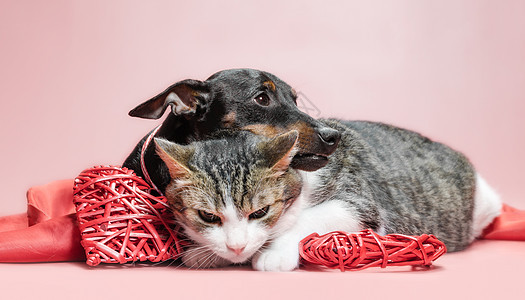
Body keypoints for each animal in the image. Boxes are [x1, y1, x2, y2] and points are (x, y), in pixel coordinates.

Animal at [155, 120, 500, 272]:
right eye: (207, 216)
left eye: (260, 212)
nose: (236, 246)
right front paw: (208, 252)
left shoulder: (359, 203)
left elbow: (312, 217)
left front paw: (274, 252)